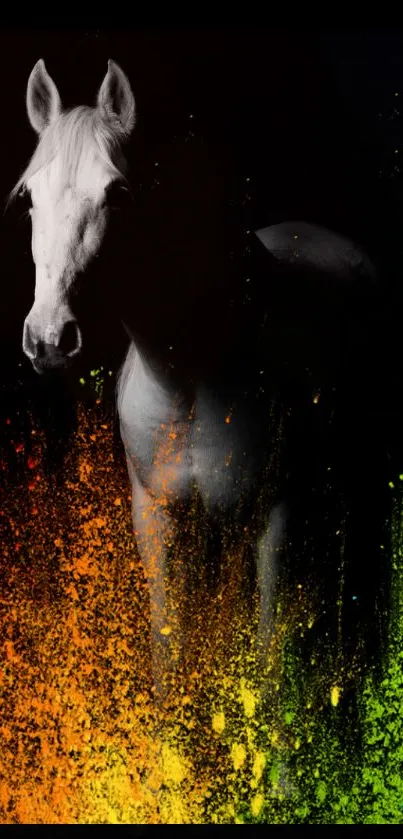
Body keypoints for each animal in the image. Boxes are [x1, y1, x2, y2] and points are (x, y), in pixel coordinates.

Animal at [11, 58, 378, 703]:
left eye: (119, 192)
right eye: (31, 195)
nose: (50, 338)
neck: (189, 380)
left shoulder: (277, 524)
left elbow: (270, 668)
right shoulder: (157, 519)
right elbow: (170, 660)